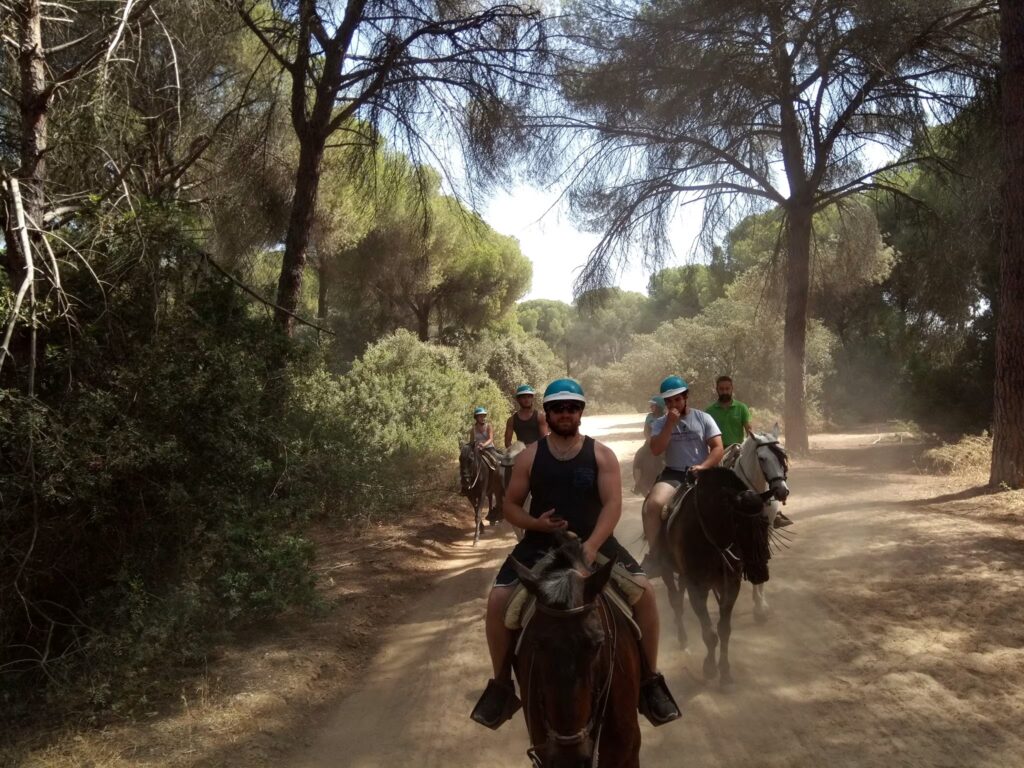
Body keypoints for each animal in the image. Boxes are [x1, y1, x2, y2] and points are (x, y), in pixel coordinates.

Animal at [655, 468, 770, 692]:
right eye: (740, 524)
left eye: (766, 523)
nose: (761, 572)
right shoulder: (697, 588)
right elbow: (709, 634)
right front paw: (709, 668)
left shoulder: (730, 585)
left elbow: (724, 631)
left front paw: (725, 672)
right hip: (666, 568)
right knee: (676, 602)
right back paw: (683, 640)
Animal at [720, 430, 790, 622]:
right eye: (762, 458)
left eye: (782, 455)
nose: (782, 491)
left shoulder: (766, 529)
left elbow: (761, 557)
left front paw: (760, 605)